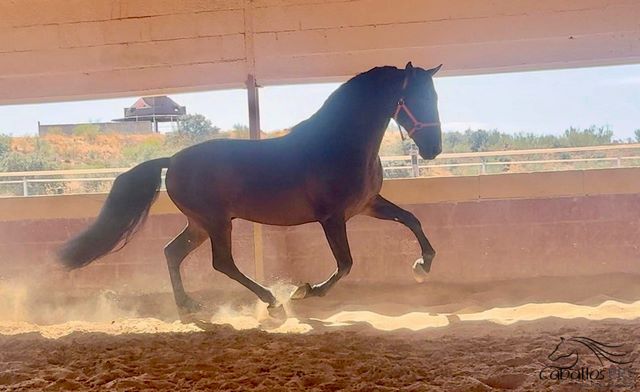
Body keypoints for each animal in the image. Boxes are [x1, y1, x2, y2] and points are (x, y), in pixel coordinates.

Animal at [58, 62, 440, 318]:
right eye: (414, 98)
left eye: (434, 96)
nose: (434, 148)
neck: (339, 145)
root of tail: (173, 160)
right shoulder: (332, 218)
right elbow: (345, 263)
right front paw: (304, 292)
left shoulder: (368, 204)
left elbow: (413, 219)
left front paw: (422, 266)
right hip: (216, 223)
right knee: (222, 262)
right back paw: (271, 300)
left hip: (200, 225)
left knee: (172, 253)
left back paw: (190, 305)